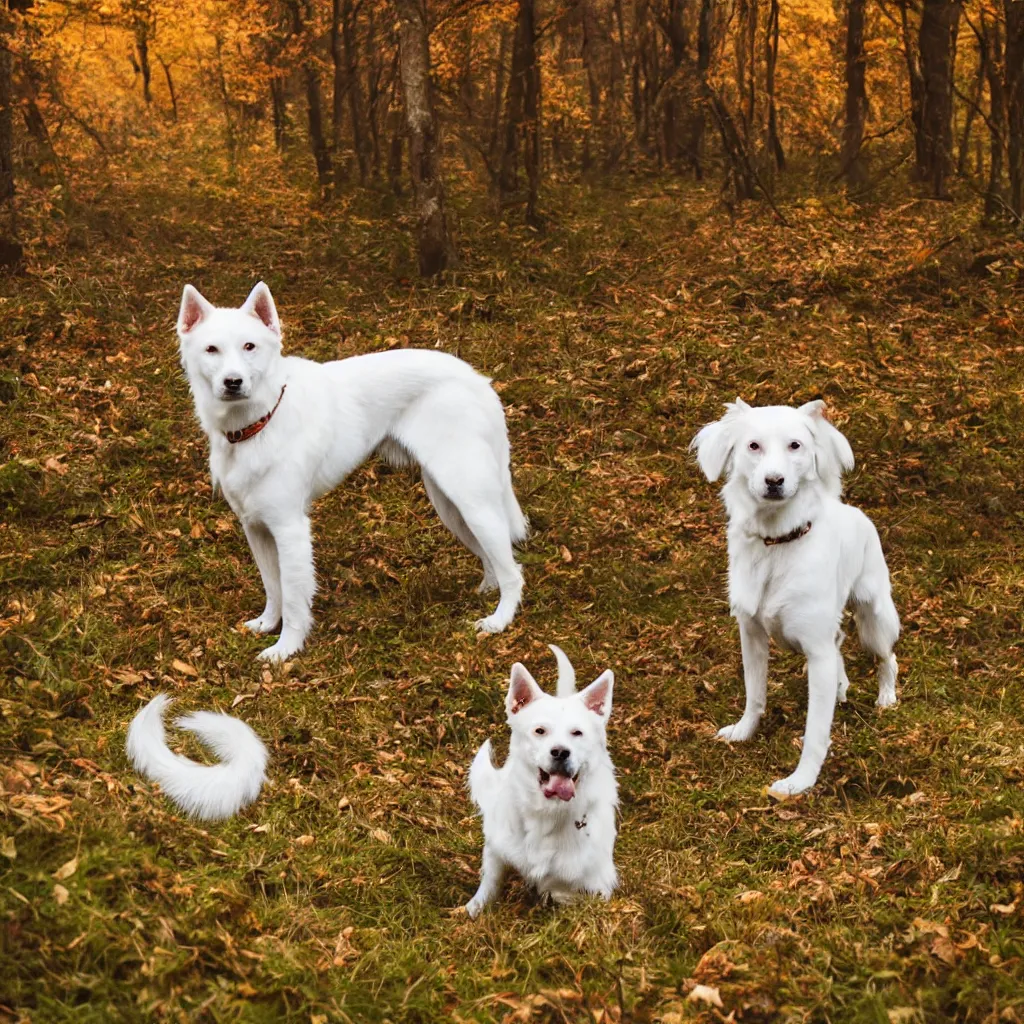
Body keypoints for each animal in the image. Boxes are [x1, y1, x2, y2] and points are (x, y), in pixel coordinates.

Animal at [177, 282, 528, 663]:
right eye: (212, 349)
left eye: (249, 347)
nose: (233, 382)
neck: (261, 420)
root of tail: (477, 379)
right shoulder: (255, 527)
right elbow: (273, 587)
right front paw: (268, 624)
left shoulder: (289, 529)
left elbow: (293, 598)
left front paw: (286, 649)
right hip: (451, 505)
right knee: (492, 558)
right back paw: (487, 590)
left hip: (472, 501)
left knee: (514, 572)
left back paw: (499, 621)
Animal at [464, 643, 614, 917]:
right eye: (540, 731)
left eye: (577, 733)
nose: (560, 752)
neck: (547, 813)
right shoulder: (496, 850)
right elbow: (489, 883)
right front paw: (473, 910)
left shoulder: (592, 884)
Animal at [692, 395, 901, 794]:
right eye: (753, 446)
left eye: (795, 446)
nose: (774, 481)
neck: (777, 543)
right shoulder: (751, 634)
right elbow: (755, 694)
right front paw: (744, 732)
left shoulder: (816, 651)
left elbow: (816, 730)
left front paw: (800, 782)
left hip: (874, 619)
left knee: (888, 658)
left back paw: (886, 697)